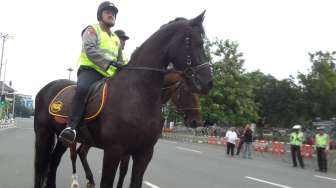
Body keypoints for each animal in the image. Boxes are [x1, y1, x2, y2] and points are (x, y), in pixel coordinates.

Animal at [34, 12, 213, 188]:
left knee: (54, 162)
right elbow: (109, 181)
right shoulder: (114, 151)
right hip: (44, 133)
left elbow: (133, 180)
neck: (138, 94)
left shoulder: (144, 153)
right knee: (42, 166)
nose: (208, 83)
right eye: (194, 42)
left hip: (62, 138)